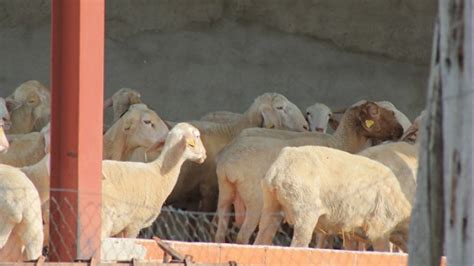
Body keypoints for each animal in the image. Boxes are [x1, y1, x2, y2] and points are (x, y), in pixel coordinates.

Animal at [215, 101, 404, 244]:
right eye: (375, 112)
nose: (400, 130)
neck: (339, 143)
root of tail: (227, 161)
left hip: (225, 194)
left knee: (220, 232)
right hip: (255, 200)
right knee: (242, 237)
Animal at [254, 145, 412, 251]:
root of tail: (279, 170)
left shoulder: (350, 232)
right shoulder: (379, 229)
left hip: (271, 205)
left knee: (260, 240)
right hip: (304, 210)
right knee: (297, 246)